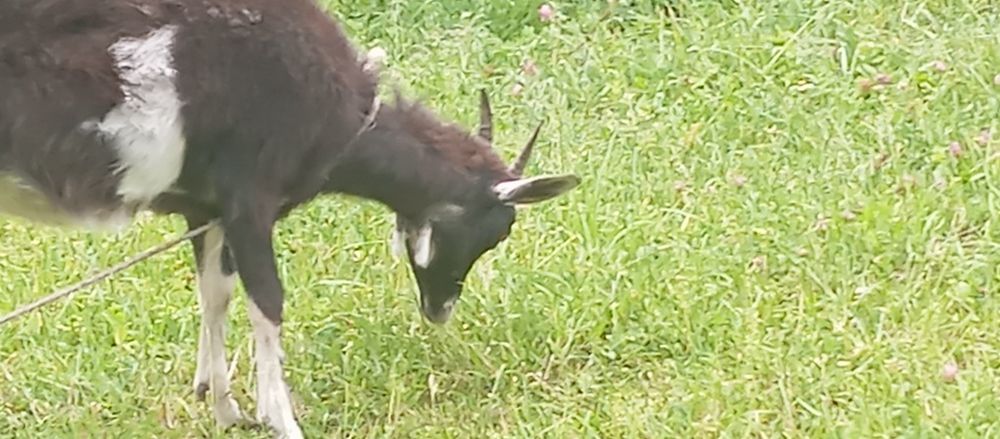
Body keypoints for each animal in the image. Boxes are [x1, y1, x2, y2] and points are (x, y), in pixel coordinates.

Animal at [0, 0, 580, 437]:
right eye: (488, 232)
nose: (440, 310)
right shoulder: (249, 200)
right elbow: (268, 303)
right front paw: (279, 419)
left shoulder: (207, 208)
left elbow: (215, 292)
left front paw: (220, 402)